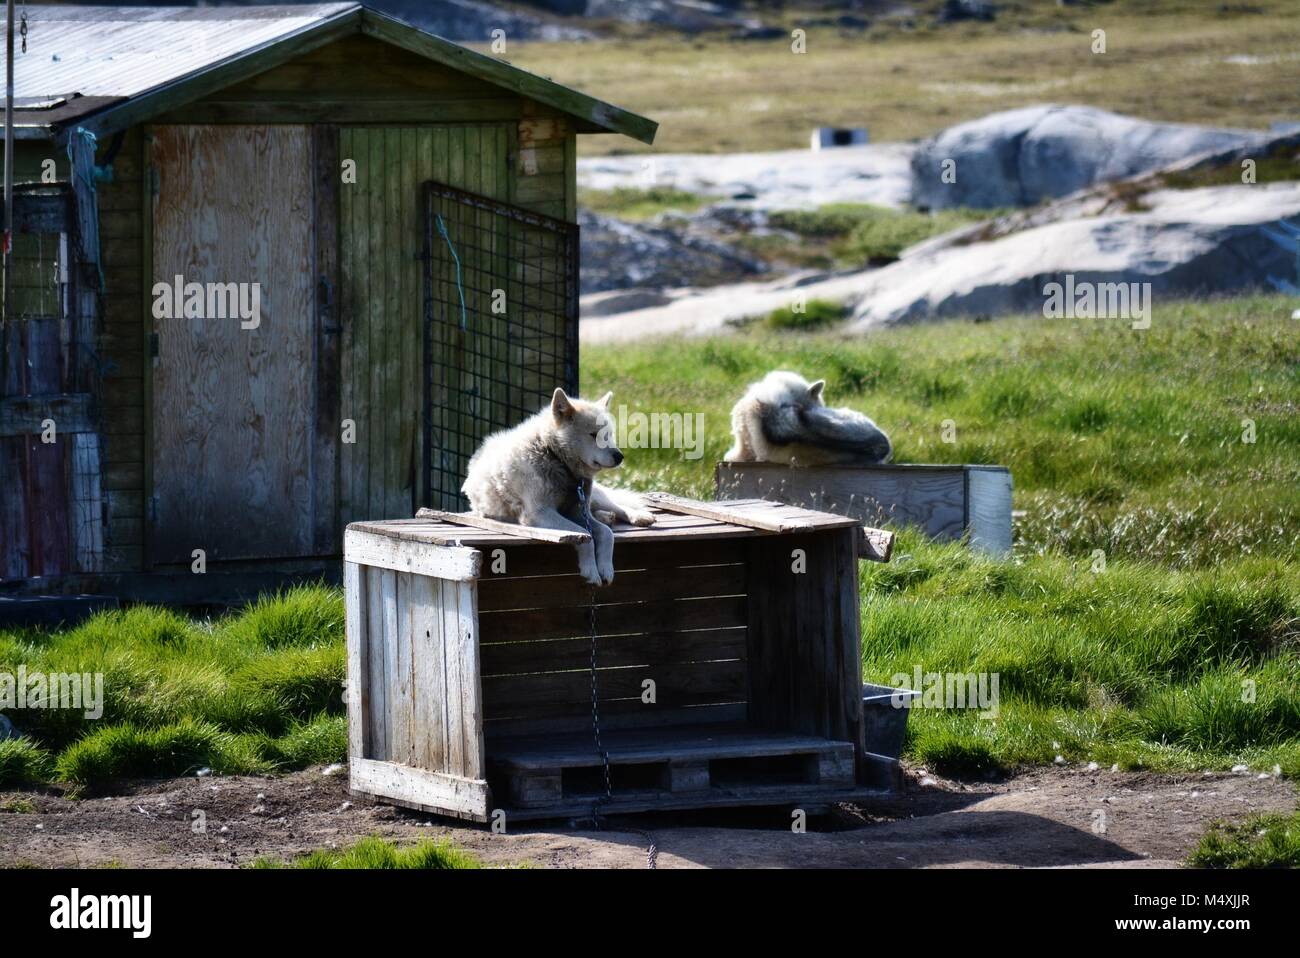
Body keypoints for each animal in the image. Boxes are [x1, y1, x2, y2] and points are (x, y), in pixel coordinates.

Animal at [462, 387, 655, 582]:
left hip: (594, 498)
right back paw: (606, 516)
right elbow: (585, 535)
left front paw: (606, 568)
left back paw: (637, 516)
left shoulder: (577, 511)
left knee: (614, 505)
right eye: (594, 435)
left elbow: (607, 534)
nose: (619, 457)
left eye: (608, 435)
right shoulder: (540, 514)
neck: (553, 455)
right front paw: (592, 571)